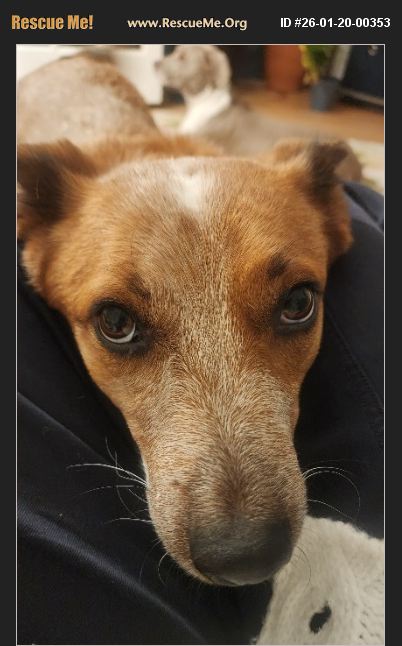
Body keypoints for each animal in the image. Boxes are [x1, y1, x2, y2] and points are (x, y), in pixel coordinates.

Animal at [156, 44, 362, 183]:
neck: (203, 100)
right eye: (175, 52)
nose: (155, 63)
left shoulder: (192, 135)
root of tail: (357, 165)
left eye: (182, 57)